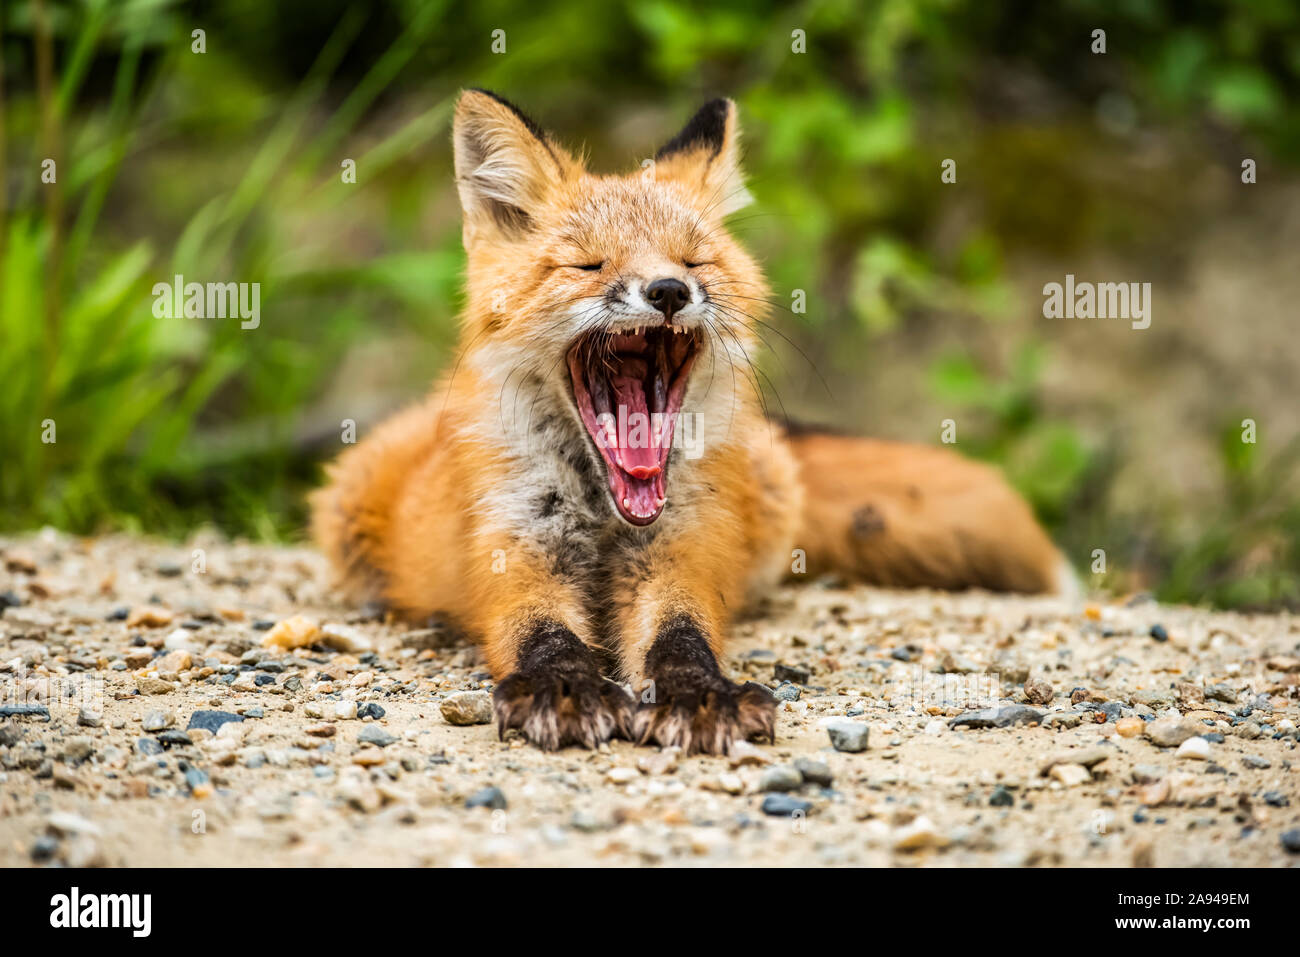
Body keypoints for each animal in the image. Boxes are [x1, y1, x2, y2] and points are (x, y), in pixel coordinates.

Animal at [309, 93, 1071, 759]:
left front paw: (702, 695)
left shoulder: (683, 551)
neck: (605, 514)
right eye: (588, 264)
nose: (669, 291)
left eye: (693, 260)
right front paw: (563, 687)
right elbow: (543, 633)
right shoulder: (514, 554)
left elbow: (682, 636)